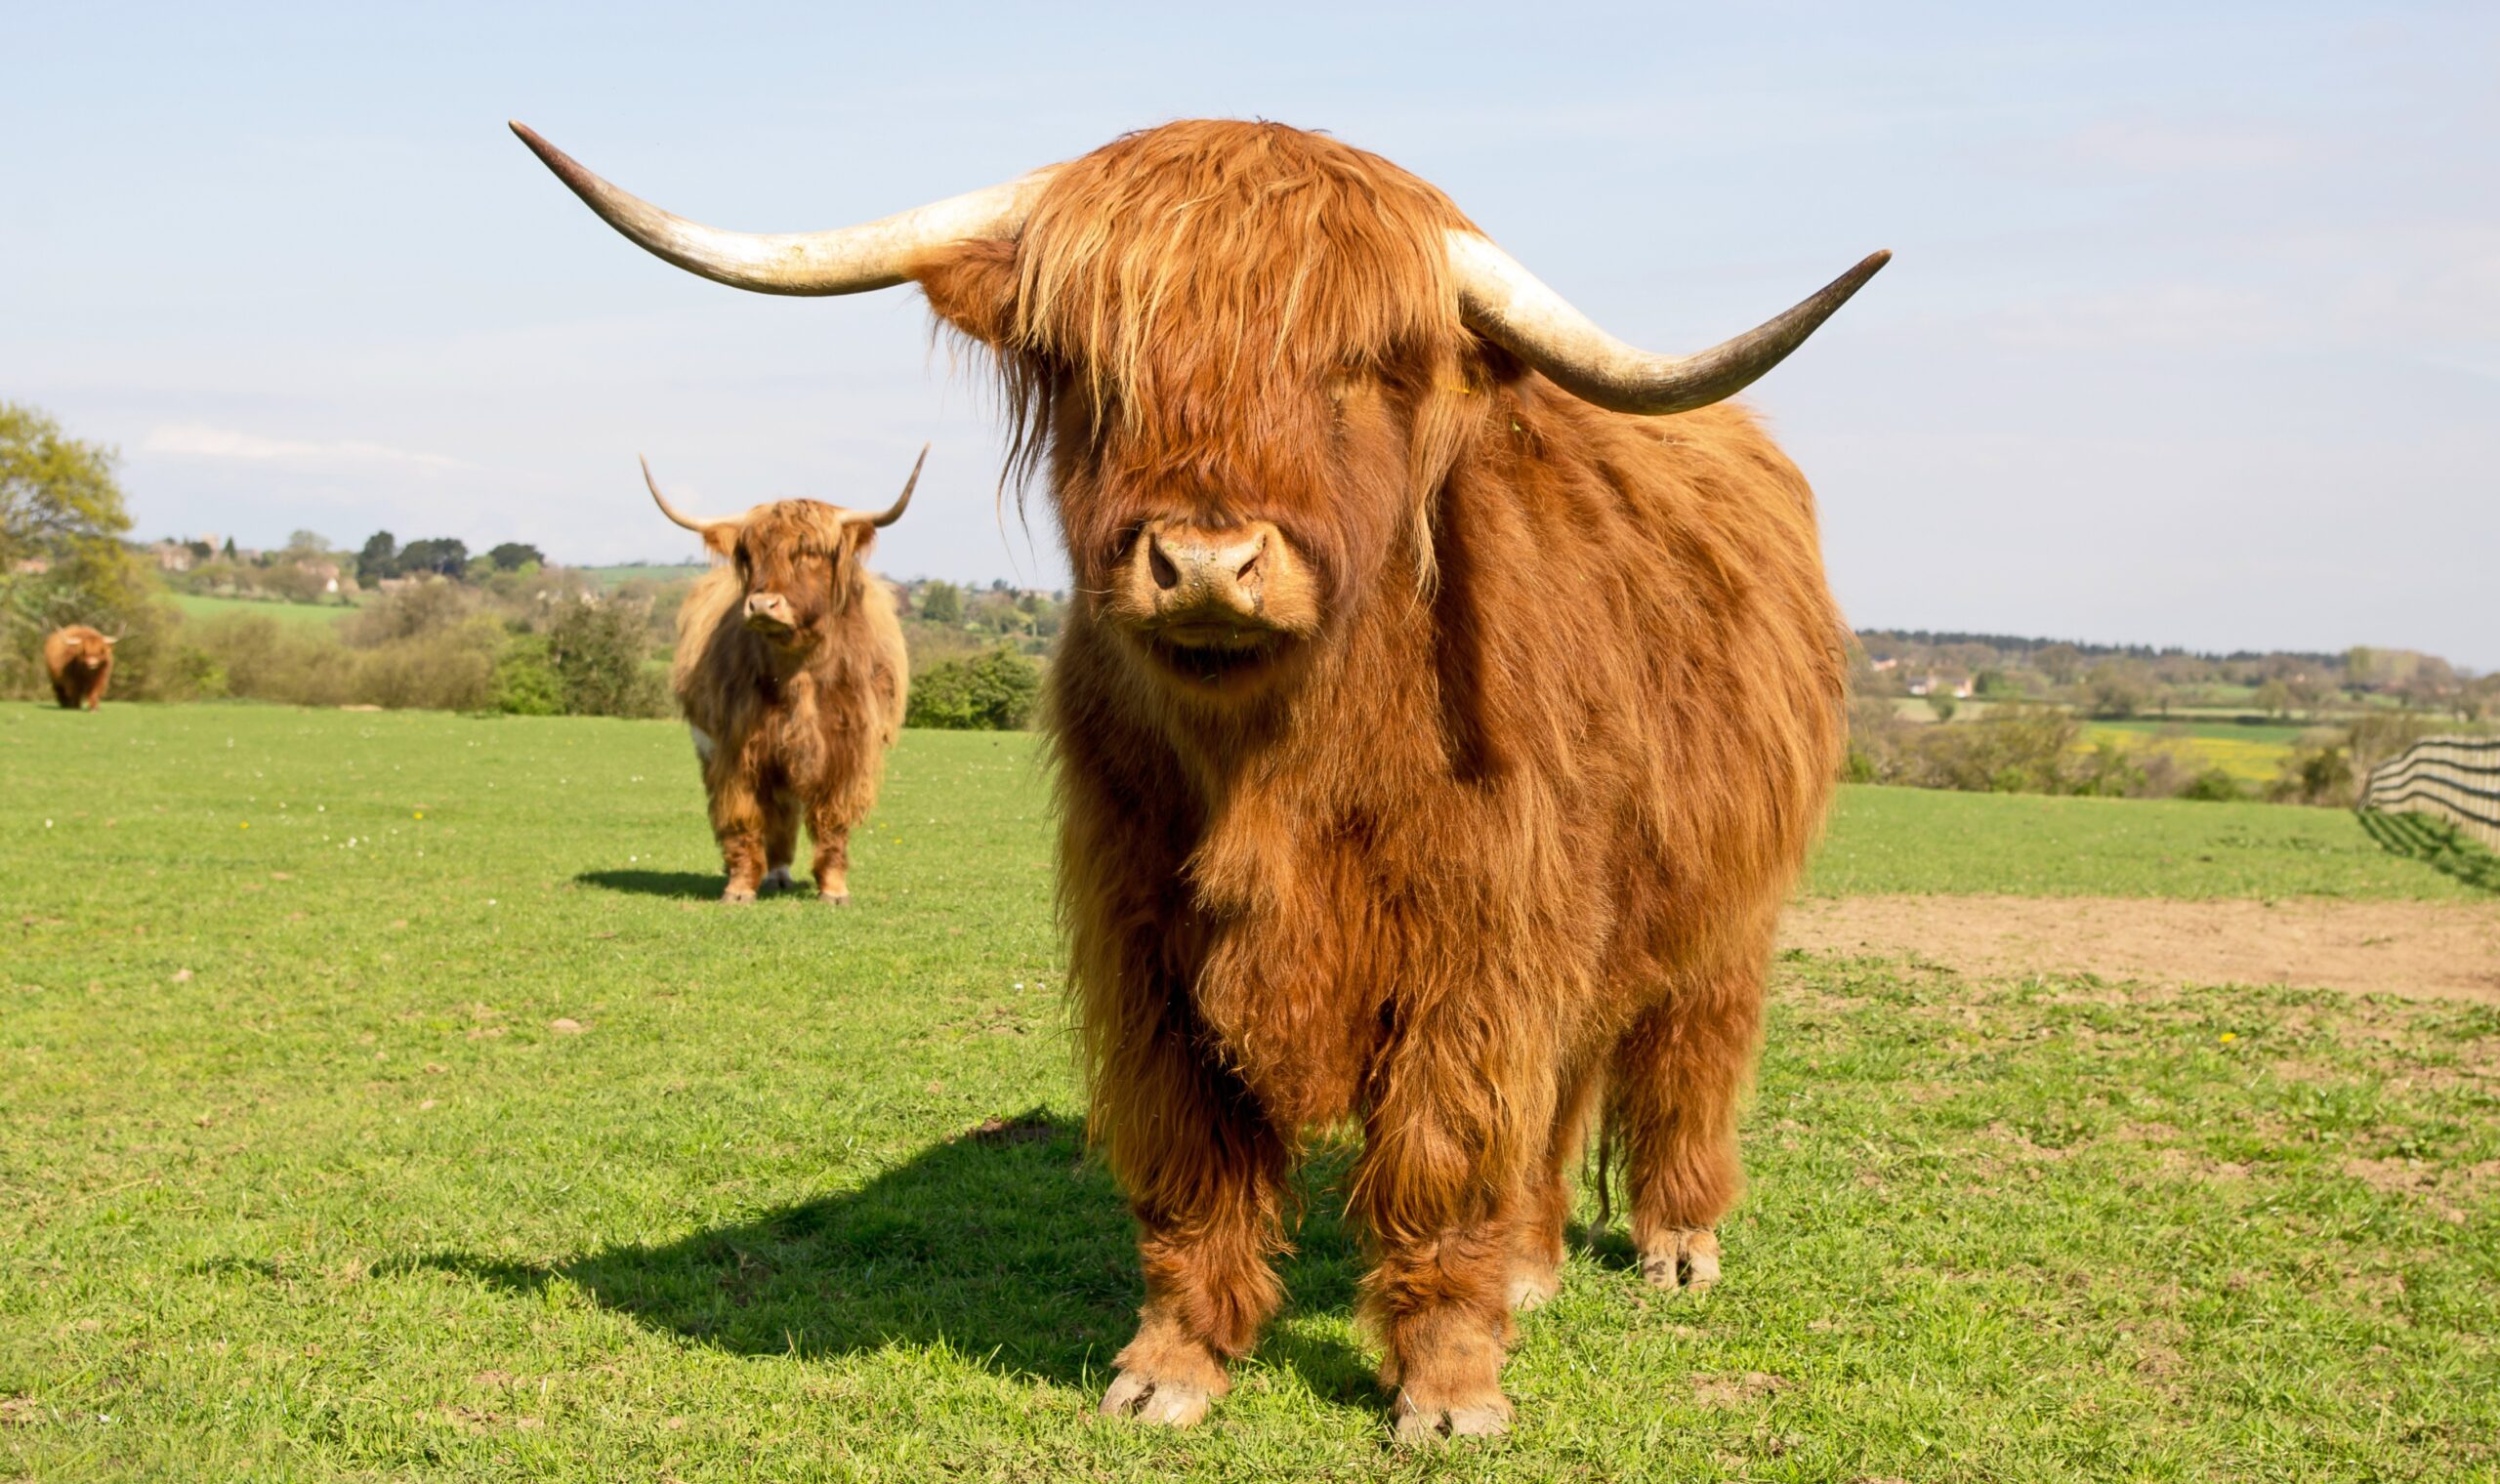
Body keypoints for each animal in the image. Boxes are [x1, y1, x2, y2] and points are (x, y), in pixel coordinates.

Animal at [640, 451, 918, 904]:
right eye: (749, 554)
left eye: (811, 552)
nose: (762, 604)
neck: (799, 672)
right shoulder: (736, 750)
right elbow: (742, 819)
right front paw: (739, 888)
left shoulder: (847, 751)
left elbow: (833, 821)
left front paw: (834, 889)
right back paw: (772, 873)